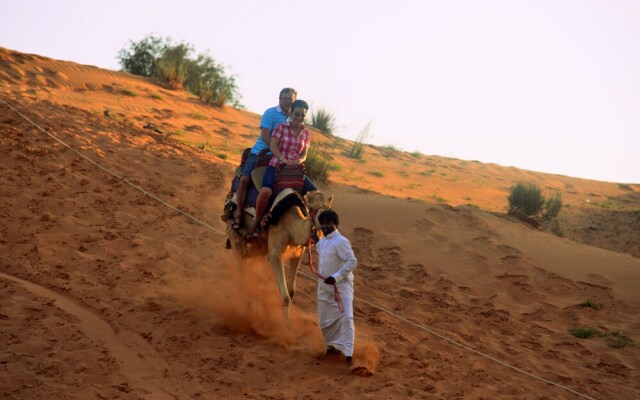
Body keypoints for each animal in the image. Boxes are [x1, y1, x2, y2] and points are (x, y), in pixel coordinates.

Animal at [225, 191, 332, 322]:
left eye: (328, 207)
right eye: (311, 208)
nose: (324, 220)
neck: (291, 225)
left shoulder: (298, 252)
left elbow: (291, 292)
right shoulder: (275, 253)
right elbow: (285, 297)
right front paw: (287, 327)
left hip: (260, 245)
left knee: (248, 256)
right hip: (233, 234)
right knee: (240, 262)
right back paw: (244, 304)